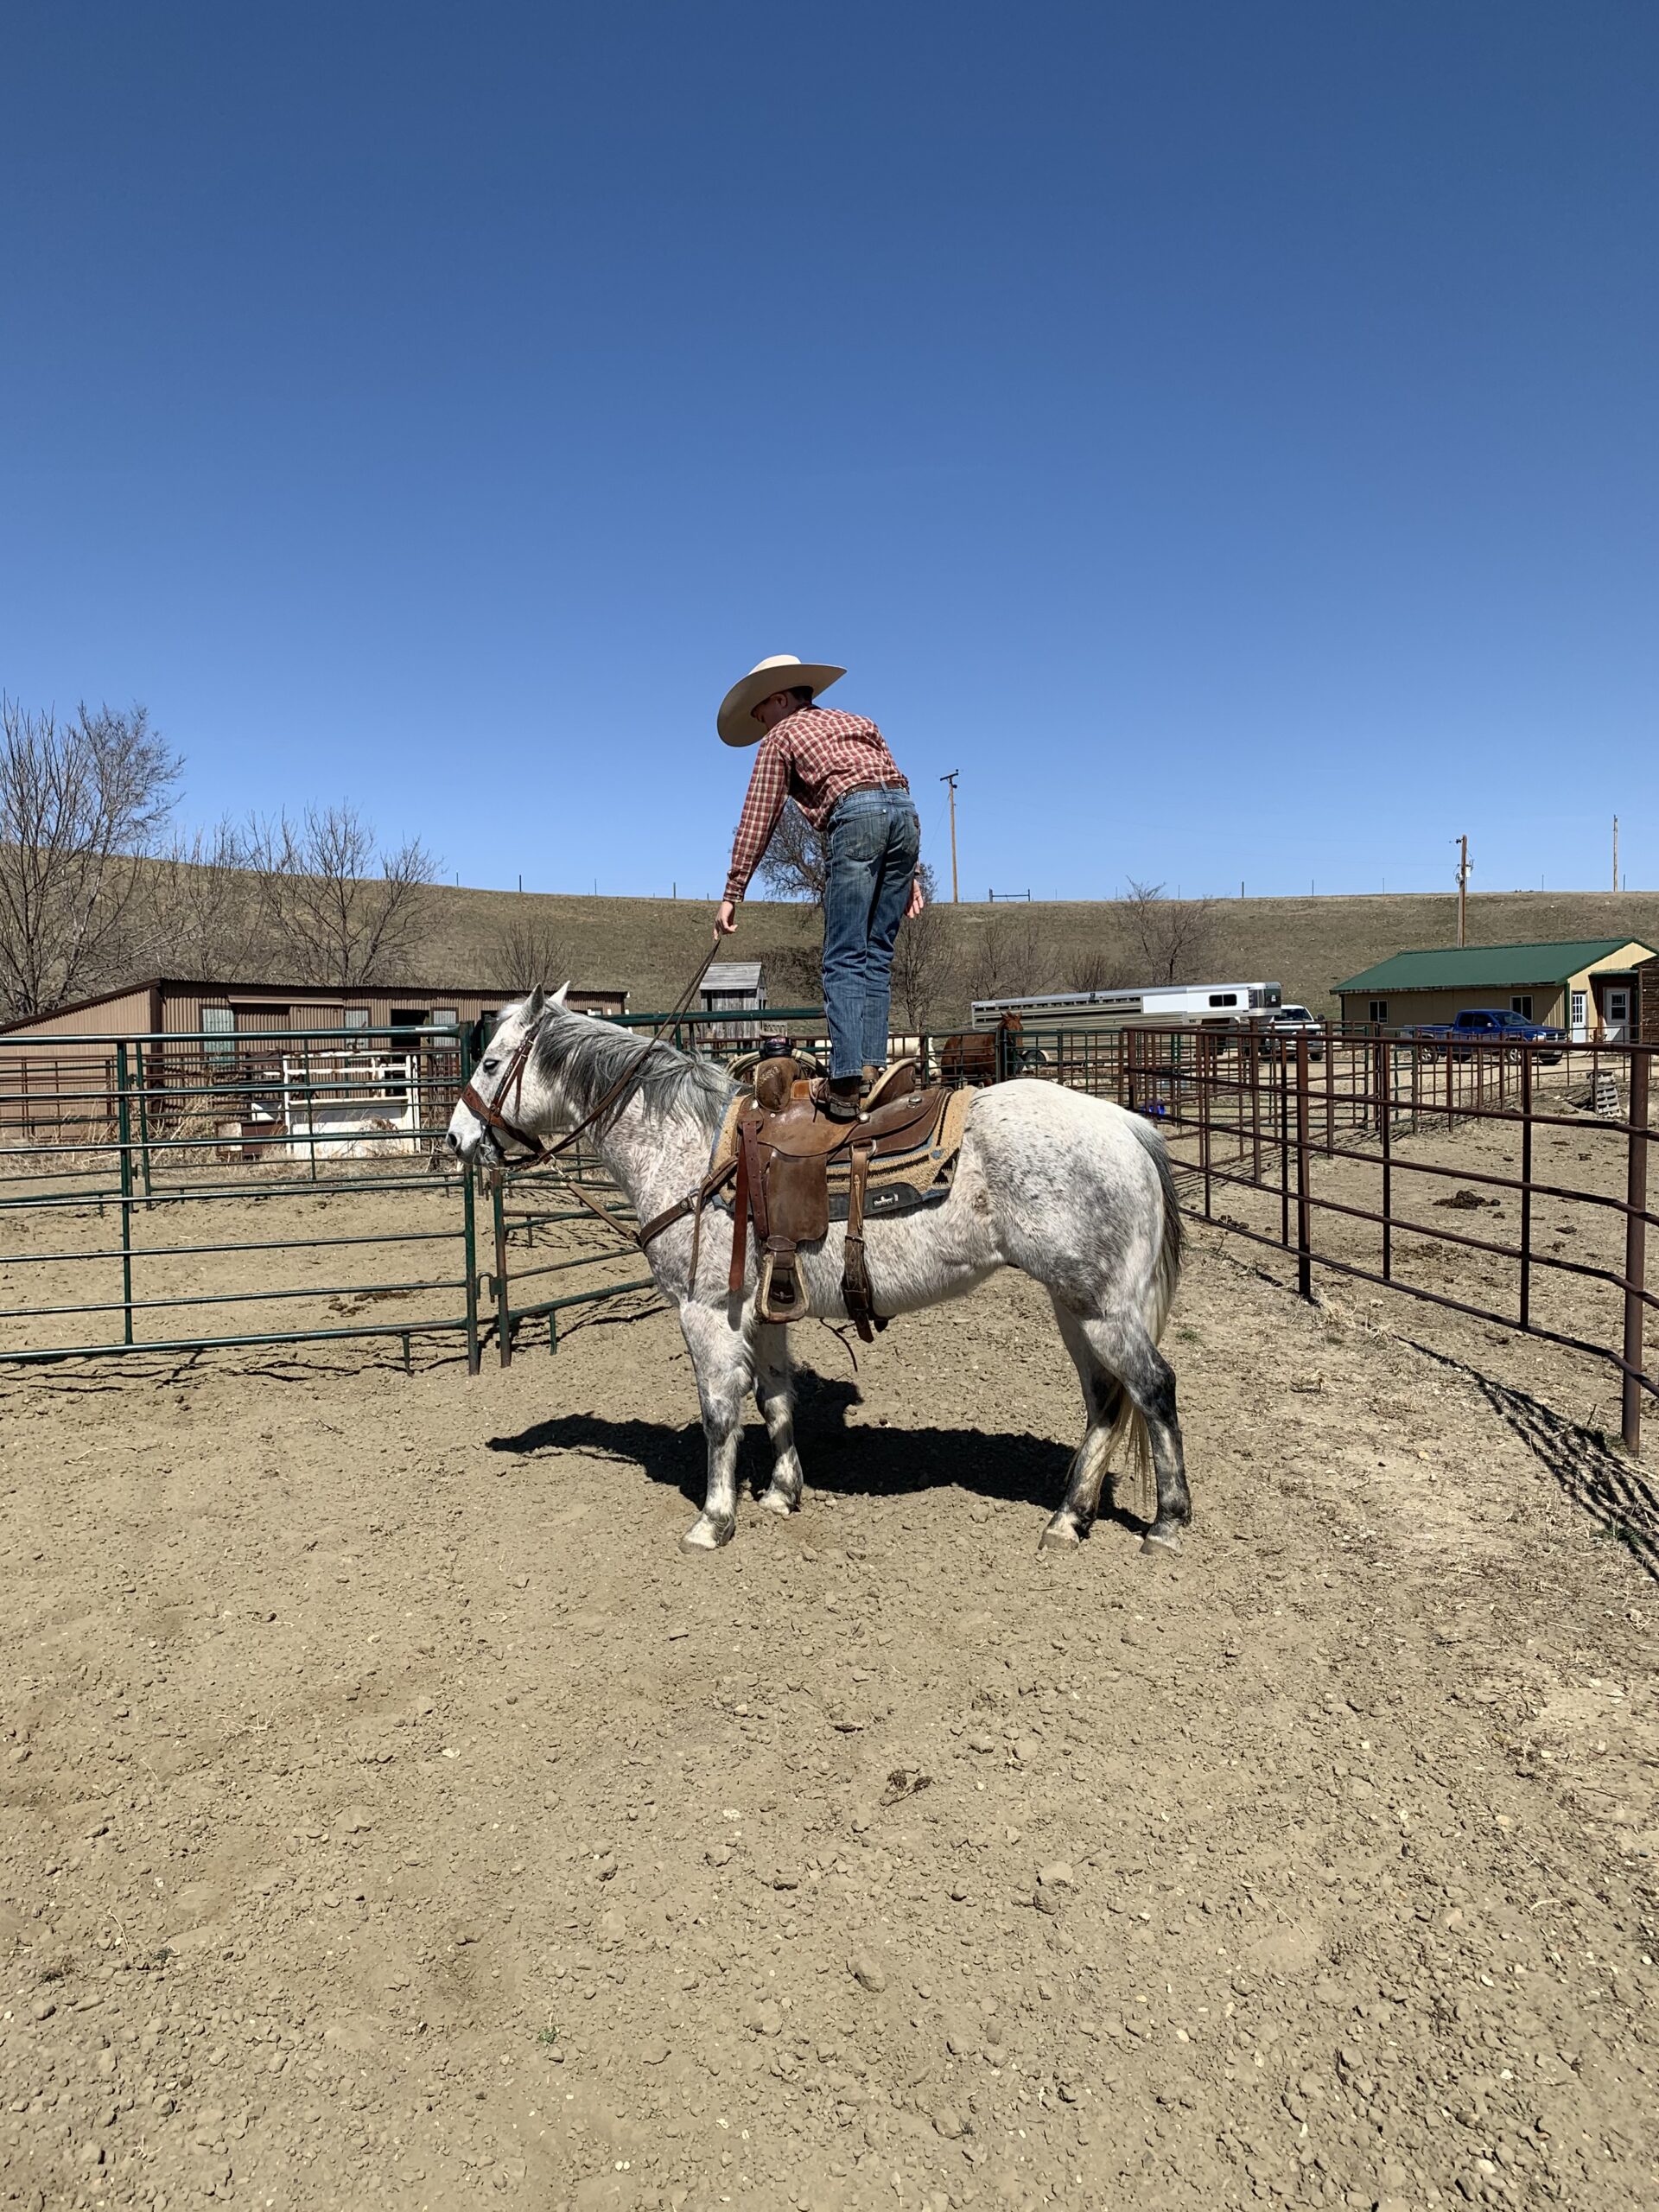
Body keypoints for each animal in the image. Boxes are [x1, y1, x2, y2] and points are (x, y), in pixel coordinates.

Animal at [446, 987, 1189, 1559]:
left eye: (491, 1061)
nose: (456, 1138)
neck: (690, 1148)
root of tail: (1126, 1126)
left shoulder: (704, 1309)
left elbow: (719, 1411)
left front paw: (714, 1521)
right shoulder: (763, 1307)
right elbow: (775, 1398)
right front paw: (782, 1493)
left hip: (1103, 1308)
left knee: (1153, 1387)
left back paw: (1166, 1524)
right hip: (1074, 1304)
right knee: (1105, 1399)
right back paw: (1069, 1518)